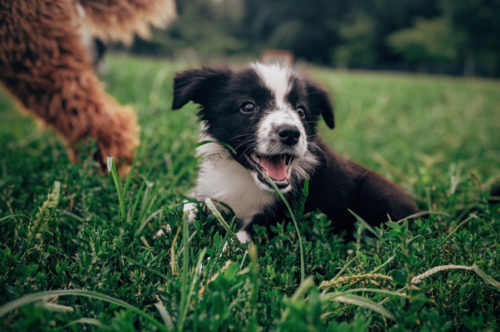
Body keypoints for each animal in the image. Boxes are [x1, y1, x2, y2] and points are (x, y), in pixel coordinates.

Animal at [172, 63, 418, 243]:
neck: (244, 176)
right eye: (248, 107)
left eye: (301, 111)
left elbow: (240, 237)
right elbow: (188, 207)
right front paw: (167, 227)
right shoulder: (214, 193)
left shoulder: (287, 214)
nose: (290, 133)